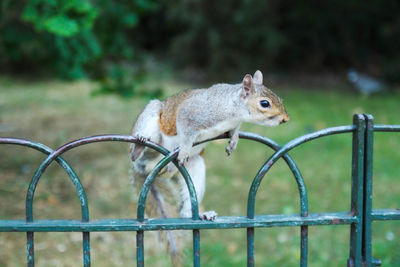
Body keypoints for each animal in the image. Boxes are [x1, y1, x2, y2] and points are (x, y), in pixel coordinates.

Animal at [130, 70, 290, 266]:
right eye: (265, 103)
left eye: (279, 98)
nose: (285, 119)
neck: (232, 108)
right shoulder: (192, 113)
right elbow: (185, 132)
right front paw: (184, 149)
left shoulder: (232, 123)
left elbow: (234, 130)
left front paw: (234, 140)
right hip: (151, 123)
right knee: (140, 153)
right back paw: (139, 146)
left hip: (195, 167)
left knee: (185, 209)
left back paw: (199, 214)